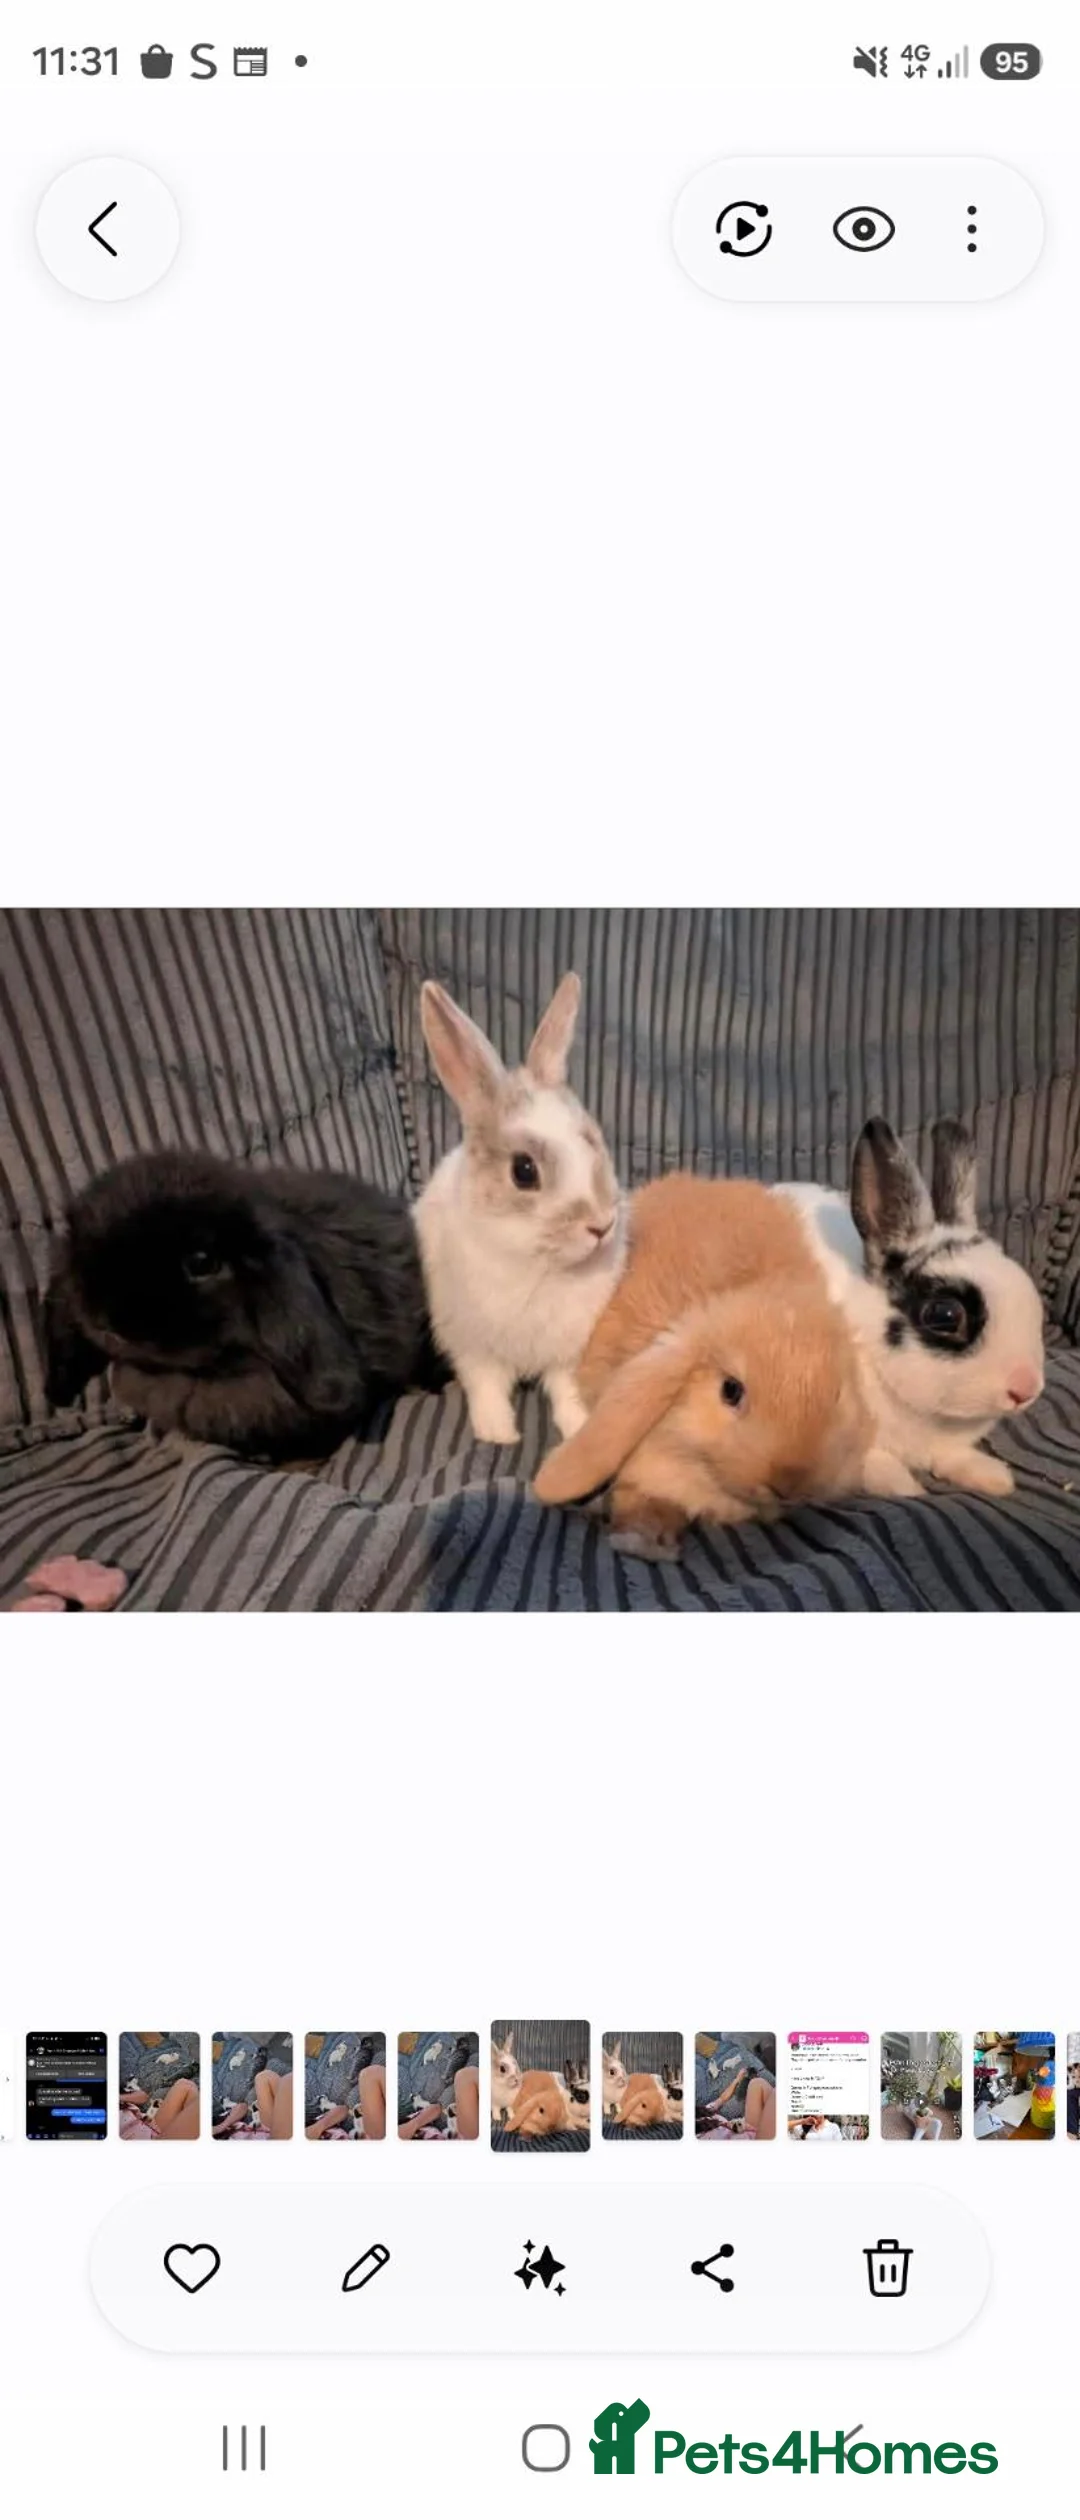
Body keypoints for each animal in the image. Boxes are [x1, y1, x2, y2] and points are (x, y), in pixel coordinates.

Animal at [414, 973, 627, 1445]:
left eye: (591, 1140)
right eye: (523, 1171)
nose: (601, 1225)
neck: (537, 1260)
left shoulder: (569, 1351)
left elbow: (566, 1390)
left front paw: (577, 1427)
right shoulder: (473, 1345)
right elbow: (487, 1388)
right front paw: (499, 1435)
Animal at [775, 1117, 1046, 1500]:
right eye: (945, 1316)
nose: (1026, 1389)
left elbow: (952, 1456)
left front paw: (993, 1477)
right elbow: (872, 1463)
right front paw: (906, 1488)